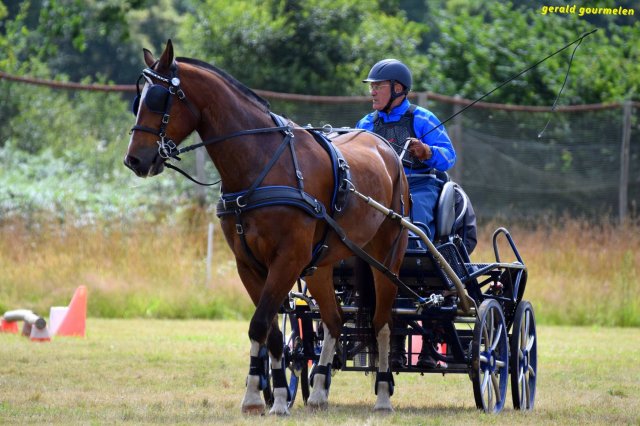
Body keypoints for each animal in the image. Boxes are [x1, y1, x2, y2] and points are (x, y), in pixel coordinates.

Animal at [124, 40, 409, 415]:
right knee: (334, 320)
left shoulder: (286, 259)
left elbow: (260, 322)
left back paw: (383, 396)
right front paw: (268, 396)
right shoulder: (248, 264)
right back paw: (319, 391)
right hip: (321, 265)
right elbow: (268, 330)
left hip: (387, 259)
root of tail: (388, 151)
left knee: (382, 323)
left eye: (158, 99)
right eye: (137, 100)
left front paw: (268, 398)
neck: (261, 164)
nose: (135, 160)